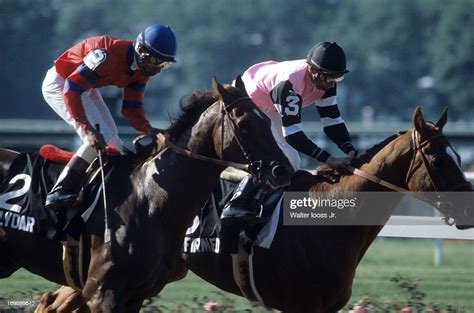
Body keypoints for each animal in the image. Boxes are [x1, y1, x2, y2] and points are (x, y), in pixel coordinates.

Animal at [0, 77, 294, 310]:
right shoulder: (101, 293)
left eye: (267, 121)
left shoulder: (136, 295)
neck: (150, 200)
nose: (283, 170)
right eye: (244, 123)